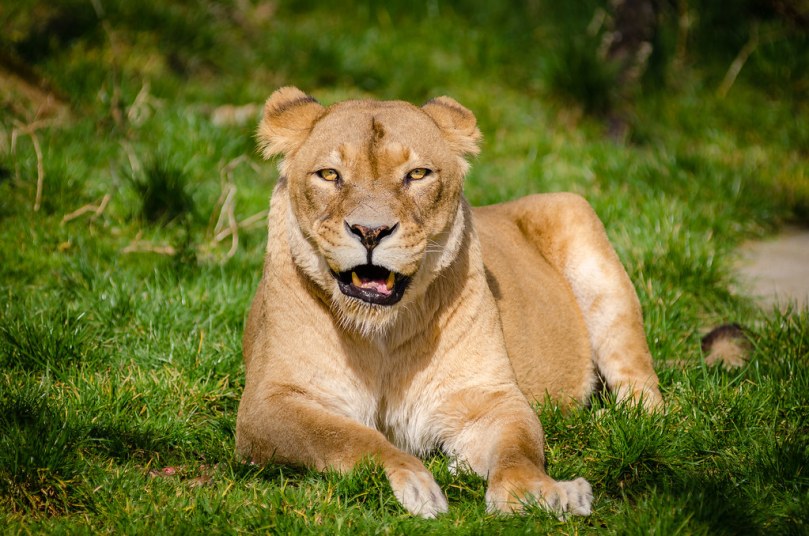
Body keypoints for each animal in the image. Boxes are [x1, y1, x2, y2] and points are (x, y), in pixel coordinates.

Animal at [235, 87, 663, 518]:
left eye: (417, 174)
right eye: (329, 175)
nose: (370, 231)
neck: (381, 335)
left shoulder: (490, 396)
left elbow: (519, 450)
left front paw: (539, 494)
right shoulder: (266, 405)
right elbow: (348, 437)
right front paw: (415, 482)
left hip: (580, 227)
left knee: (646, 394)